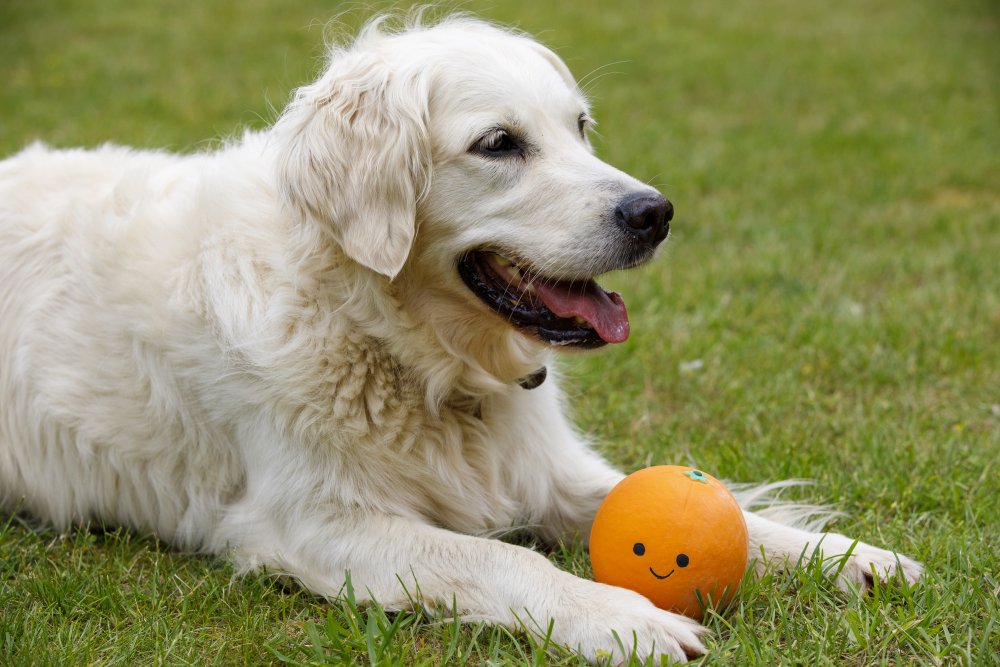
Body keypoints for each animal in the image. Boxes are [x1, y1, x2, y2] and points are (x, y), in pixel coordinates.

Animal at [0, 14, 920, 664]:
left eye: (581, 127)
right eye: (499, 144)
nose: (654, 212)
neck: (403, 347)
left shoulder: (547, 469)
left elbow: (727, 510)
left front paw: (845, 554)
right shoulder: (309, 522)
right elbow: (504, 561)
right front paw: (620, 616)